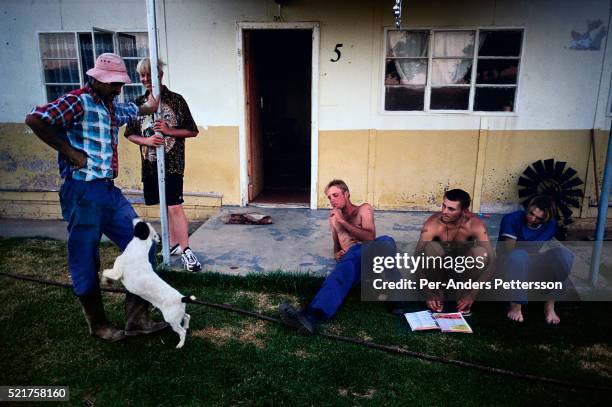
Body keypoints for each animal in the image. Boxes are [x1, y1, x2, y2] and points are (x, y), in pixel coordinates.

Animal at [103, 218, 194, 350]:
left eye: (140, 224)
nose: (135, 218)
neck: (139, 249)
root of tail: (182, 298)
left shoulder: (116, 272)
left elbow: (106, 272)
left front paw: (104, 279)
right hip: (178, 315)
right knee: (187, 316)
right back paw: (186, 325)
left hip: (171, 319)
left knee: (182, 332)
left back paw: (180, 344)